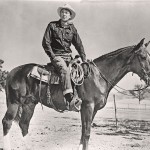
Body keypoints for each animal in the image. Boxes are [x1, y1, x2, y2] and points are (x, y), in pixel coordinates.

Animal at [1, 38, 150, 150]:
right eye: (143, 57)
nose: (149, 78)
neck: (98, 77)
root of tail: (13, 72)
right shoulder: (88, 106)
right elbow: (87, 133)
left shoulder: (91, 109)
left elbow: (83, 133)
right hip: (14, 102)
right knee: (7, 122)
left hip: (29, 104)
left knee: (23, 124)